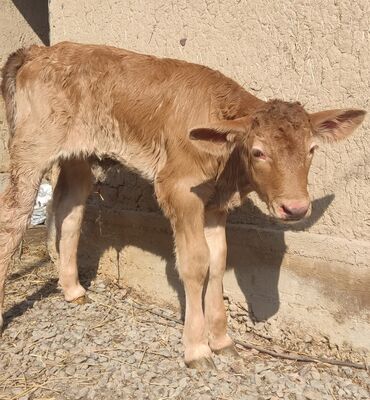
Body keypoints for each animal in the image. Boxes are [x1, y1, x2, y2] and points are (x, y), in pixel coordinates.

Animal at [0, 42, 366, 370]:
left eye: (312, 149)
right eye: (258, 151)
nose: (296, 208)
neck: (228, 168)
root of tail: (39, 50)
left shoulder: (216, 204)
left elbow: (218, 260)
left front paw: (221, 340)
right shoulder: (178, 188)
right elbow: (195, 263)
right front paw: (197, 348)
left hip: (77, 154)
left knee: (68, 209)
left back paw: (72, 288)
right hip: (32, 147)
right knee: (13, 217)